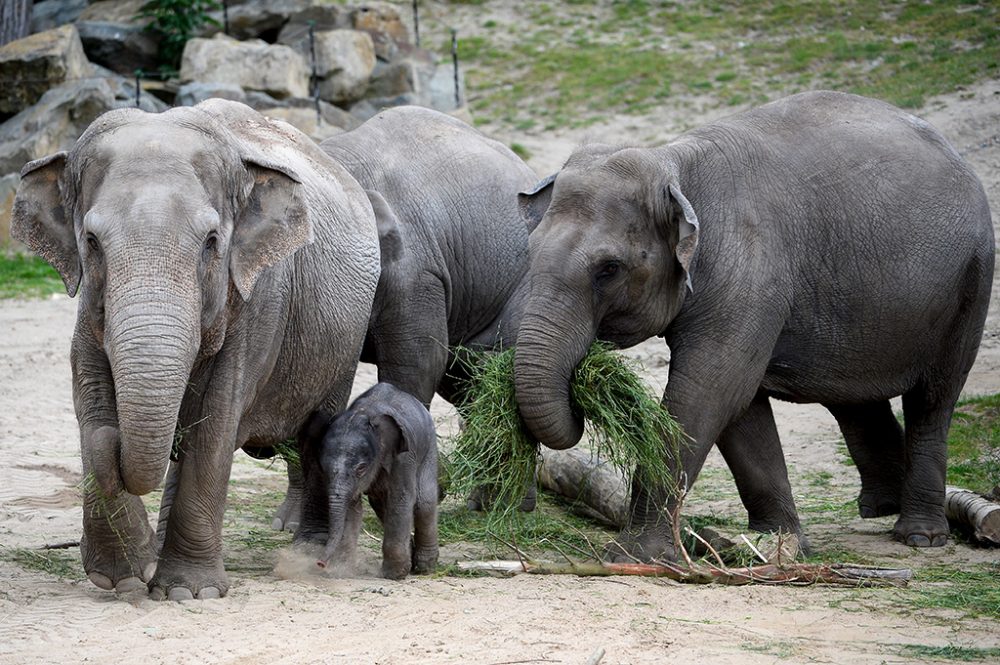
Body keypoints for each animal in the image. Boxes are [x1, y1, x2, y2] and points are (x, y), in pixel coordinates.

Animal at [15, 100, 382, 600]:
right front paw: (126, 576)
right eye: (90, 242)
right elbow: (89, 397)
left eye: (211, 243)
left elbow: (215, 423)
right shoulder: (88, 309)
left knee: (317, 431)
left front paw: (189, 592)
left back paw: (310, 551)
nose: (116, 440)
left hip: (341, 345)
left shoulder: (256, 299)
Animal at [512, 91, 996, 564]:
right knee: (856, 399)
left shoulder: (750, 273)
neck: (674, 163)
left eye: (609, 269)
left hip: (971, 284)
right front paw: (776, 545)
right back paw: (883, 506)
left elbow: (708, 391)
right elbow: (740, 409)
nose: (583, 391)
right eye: (530, 249)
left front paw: (633, 557)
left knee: (933, 399)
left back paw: (920, 536)